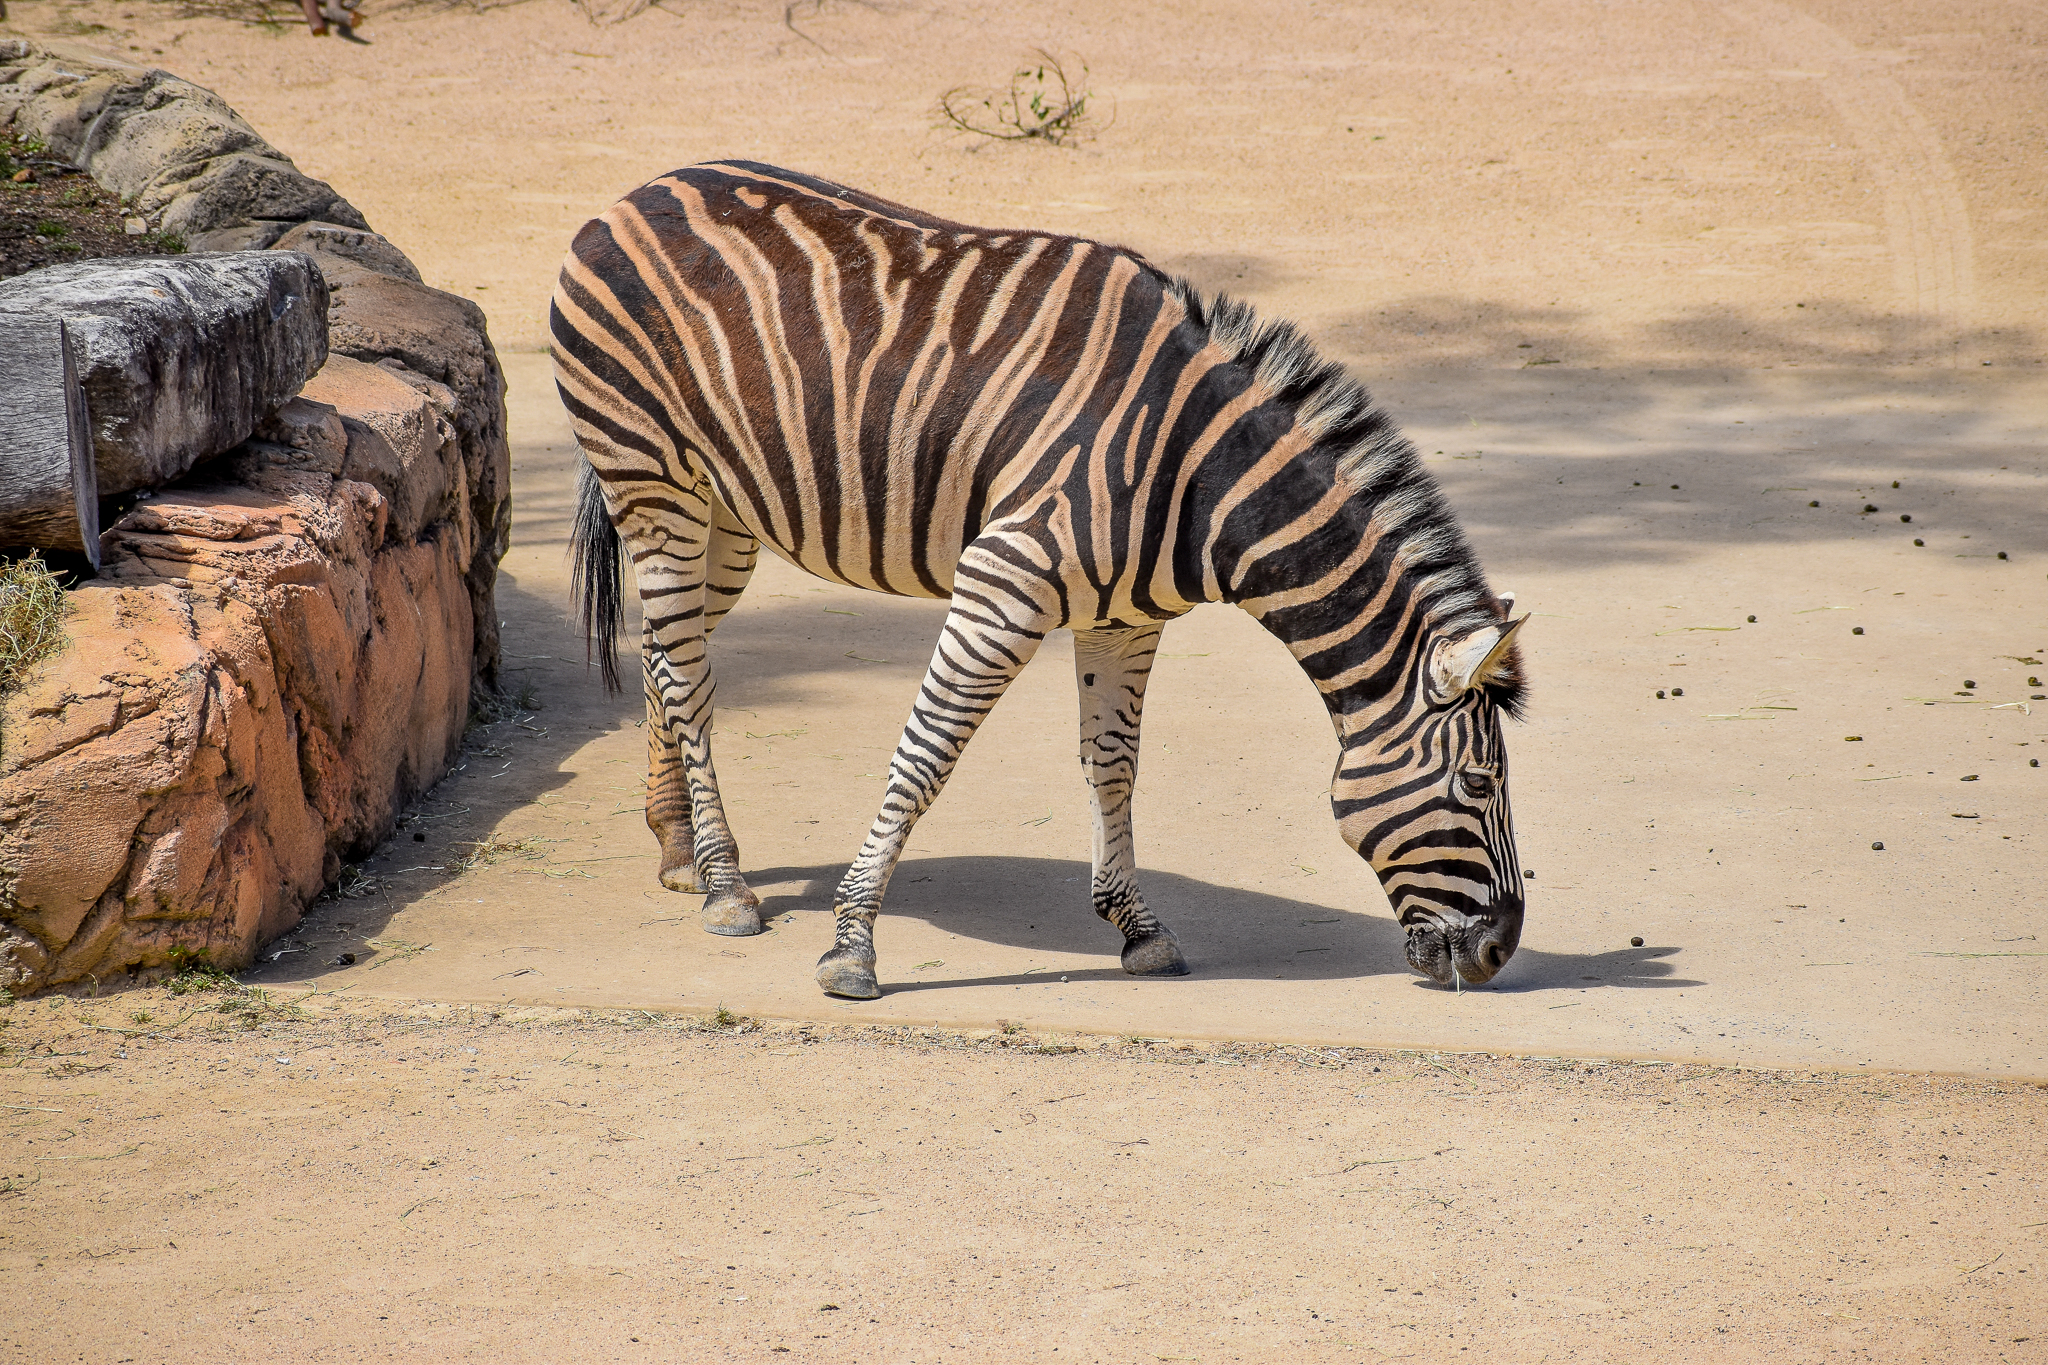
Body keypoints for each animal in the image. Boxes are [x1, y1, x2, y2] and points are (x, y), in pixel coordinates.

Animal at [552, 161, 1528, 1000]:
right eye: (1480, 784)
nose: (1498, 952)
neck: (1198, 474)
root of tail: (639, 189)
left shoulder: (1127, 617)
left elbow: (1114, 761)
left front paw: (1137, 927)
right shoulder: (1002, 581)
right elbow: (925, 756)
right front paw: (852, 944)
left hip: (726, 515)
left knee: (668, 655)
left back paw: (677, 849)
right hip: (653, 481)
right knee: (690, 674)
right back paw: (725, 885)